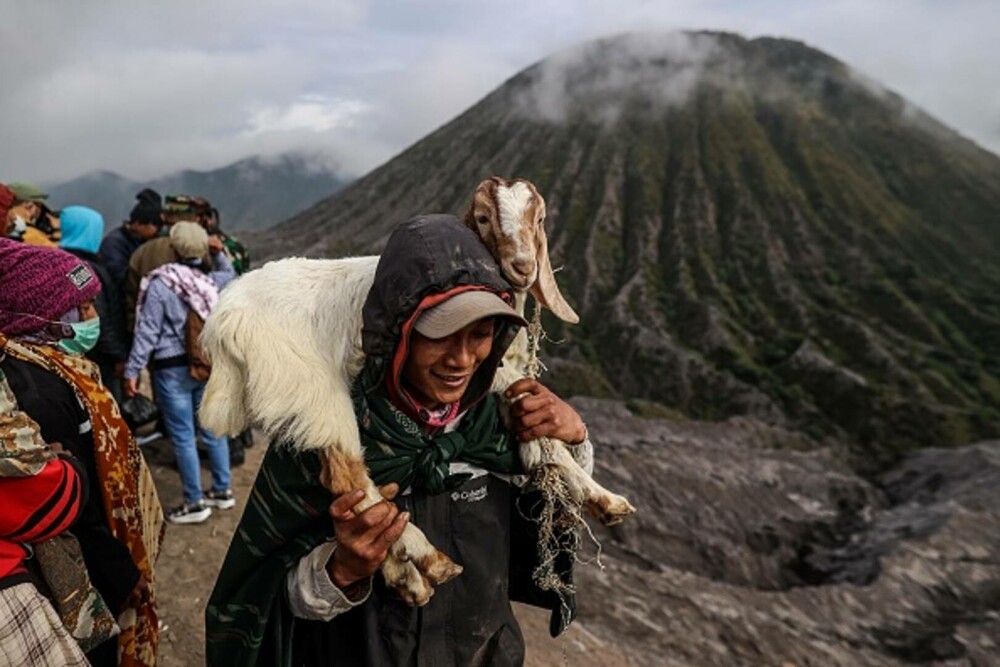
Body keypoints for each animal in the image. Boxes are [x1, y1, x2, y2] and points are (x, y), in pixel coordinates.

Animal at [201, 176, 632, 604]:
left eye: (539, 219)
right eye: (483, 218)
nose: (523, 267)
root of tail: (223, 320)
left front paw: (589, 492)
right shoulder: (488, 373)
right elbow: (533, 419)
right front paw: (604, 497)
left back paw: (406, 577)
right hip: (311, 386)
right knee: (346, 476)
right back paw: (428, 559)